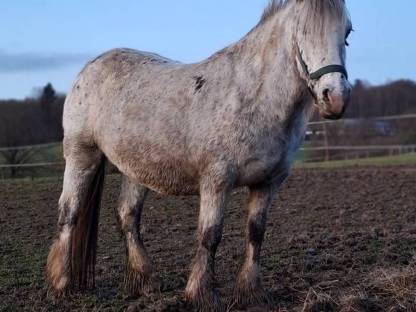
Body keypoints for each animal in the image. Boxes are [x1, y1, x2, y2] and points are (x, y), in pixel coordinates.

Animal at [46, 0, 352, 310]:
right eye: (303, 31)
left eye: (347, 32)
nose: (335, 97)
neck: (255, 97)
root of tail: (91, 67)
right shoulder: (216, 180)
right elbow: (210, 235)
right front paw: (201, 295)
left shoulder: (267, 183)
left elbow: (256, 233)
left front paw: (251, 293)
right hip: (81, 157)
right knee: (68, 213)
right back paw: (61, 285)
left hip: (136, 169)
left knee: (127, 216)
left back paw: (146, 282)